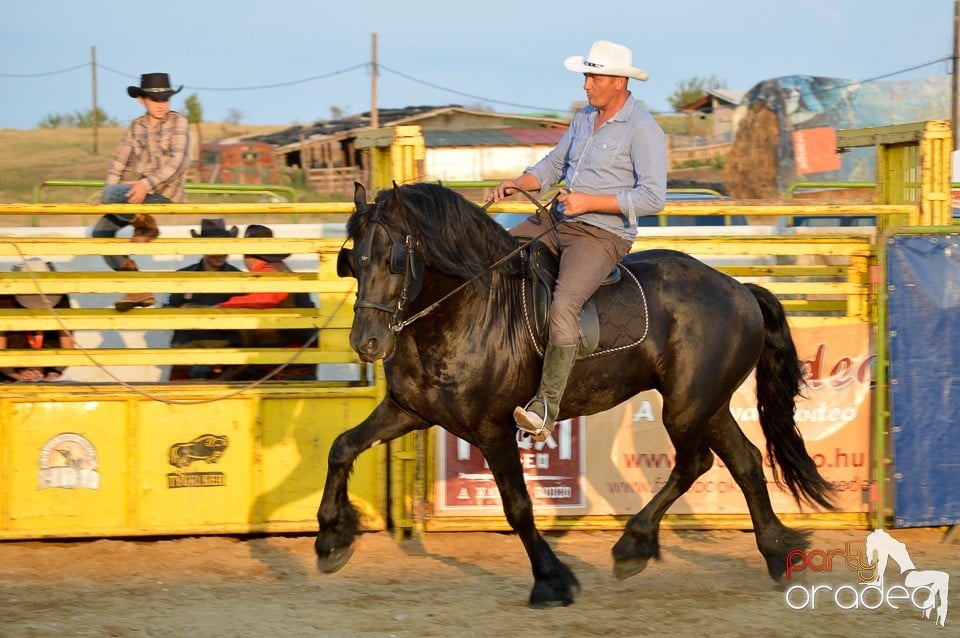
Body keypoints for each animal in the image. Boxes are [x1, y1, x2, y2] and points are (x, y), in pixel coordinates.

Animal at [316, 181, 832, 608]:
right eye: (354, 260)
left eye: (395, 259)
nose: (366, 343)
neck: (467, 308)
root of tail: (738, 289)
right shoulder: (409, 410)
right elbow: (341, 447)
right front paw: (331, 537)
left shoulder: (492, 428)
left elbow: (518, 507)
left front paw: (551, 579)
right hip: (709, 405)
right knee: (744, 461)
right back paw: (776, 552)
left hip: (687, 407)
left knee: (695, 463)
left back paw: (635, 543)